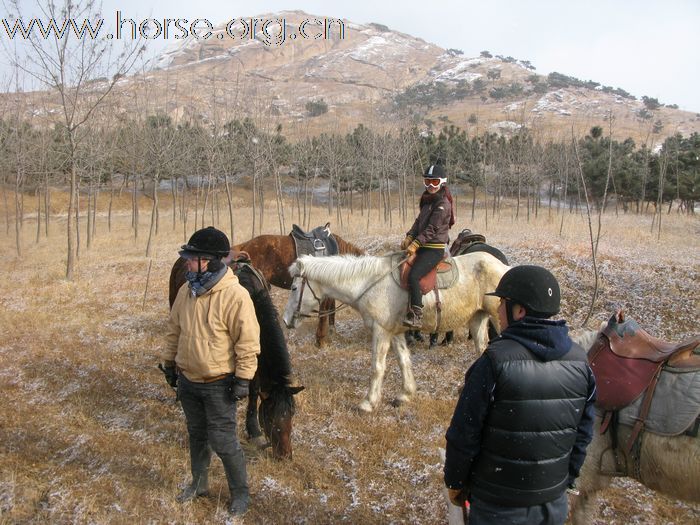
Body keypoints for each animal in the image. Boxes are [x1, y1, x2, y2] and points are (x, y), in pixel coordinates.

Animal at [284, 252, 508, 412]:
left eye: (294, 288)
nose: (286, 320)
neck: (368, 283)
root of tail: (505, 267)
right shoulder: (396, 332)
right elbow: (403, 361)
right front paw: (406, 395)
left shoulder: (381, 331)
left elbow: (377, 367)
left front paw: (368, 403)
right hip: (478, 319)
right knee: (482, 350)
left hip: (498, 319)